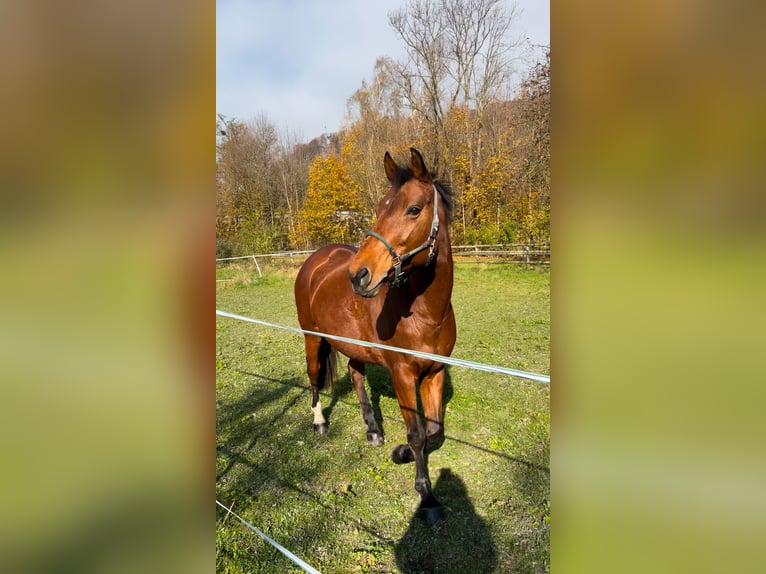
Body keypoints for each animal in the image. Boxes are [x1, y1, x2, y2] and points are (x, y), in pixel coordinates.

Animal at [294, 148, 456, 528]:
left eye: (413, 209)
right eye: (379, 209)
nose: (359, 274)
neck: (425, 313)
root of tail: (315, 261)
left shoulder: (435, 373)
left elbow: (435, 431)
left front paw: (400, 452)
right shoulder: (403, 375)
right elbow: (417, 434)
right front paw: (427, 497)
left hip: (353, 346)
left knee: (355, 375)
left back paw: (372, 430)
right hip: (312, 339)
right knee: (313, 379)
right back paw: (320, 423)